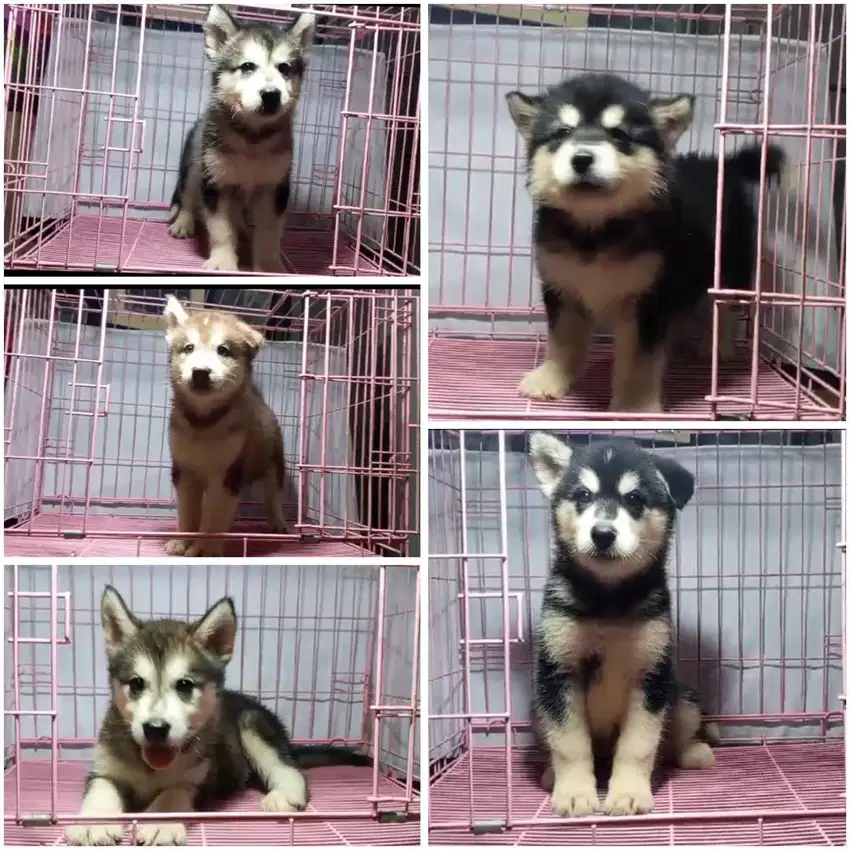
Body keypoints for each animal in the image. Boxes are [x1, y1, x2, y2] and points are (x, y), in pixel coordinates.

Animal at [64, 588, 370, 844]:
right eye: (136, 683)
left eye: (185, 685)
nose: (155, 729)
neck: (151, 768)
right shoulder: (104, 769)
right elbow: (100, 789)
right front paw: (94, 824)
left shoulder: (199, 779)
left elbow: (174, 792)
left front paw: (160, 820)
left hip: (252, 723)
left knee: (288, 767)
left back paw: (286, 794)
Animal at [162, 292, 288, 556]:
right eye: (188, 348)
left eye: (223, 350)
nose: (200, 372)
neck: (203, 424)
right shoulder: (183, 470)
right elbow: (188, 512)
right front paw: (182, 541)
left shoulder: (228, 472)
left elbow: (214, 517)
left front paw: (206, 548)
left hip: (274, 460)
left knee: (274, 496)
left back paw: (279, 523)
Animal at [166, 5, 314, 272]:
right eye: (247, 66)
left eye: (285, 68)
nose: (271, 95)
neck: (252, 137)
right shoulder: (216, 182)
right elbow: (220, 228)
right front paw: (223, 262)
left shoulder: (273, 186)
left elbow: (269, 231)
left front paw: (268, 266)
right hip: (195, 161)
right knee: (188, 195)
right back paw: (183, 222)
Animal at [504, 73, 788, 410]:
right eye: (563, 132)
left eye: (619, 134)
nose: (582, 158)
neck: (596, 230)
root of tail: (719, 164)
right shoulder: (561, 287)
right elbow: (562, 340)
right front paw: (551, 378)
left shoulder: (649, 296)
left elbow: (640, 358)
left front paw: (634, 405)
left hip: (731, 267)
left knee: (722, 307)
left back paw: (717, 347)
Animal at [524, 430, 716, 816]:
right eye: (583, 495)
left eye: (635, 499)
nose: (602, 533)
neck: (608, 603)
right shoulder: (558, 673)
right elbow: (569, 744)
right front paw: (575, 793)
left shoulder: (651, 677)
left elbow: (639, 745)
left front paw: (628, 793)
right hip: (538, 707)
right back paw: (552, 775)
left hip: (683, 699)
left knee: (672, 741)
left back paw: (693, 753)